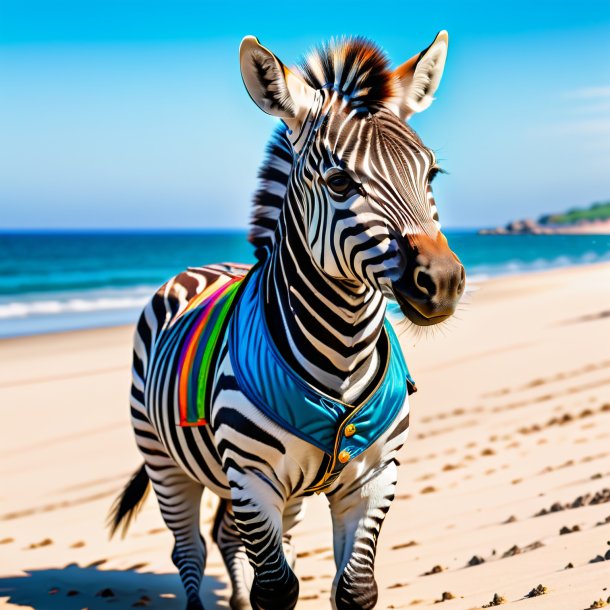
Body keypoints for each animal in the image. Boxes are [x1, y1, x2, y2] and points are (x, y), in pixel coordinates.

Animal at [109, 32, 460, 608]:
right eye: (338, 181)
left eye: (430, 173)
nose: (443, 281)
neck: (341, 354)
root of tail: (201, 268)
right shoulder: (253, 478)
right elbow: (275, 589)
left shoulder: (373, 478)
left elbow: (354, 588)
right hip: (165, 461)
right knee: (189, 550)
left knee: (230, 537)